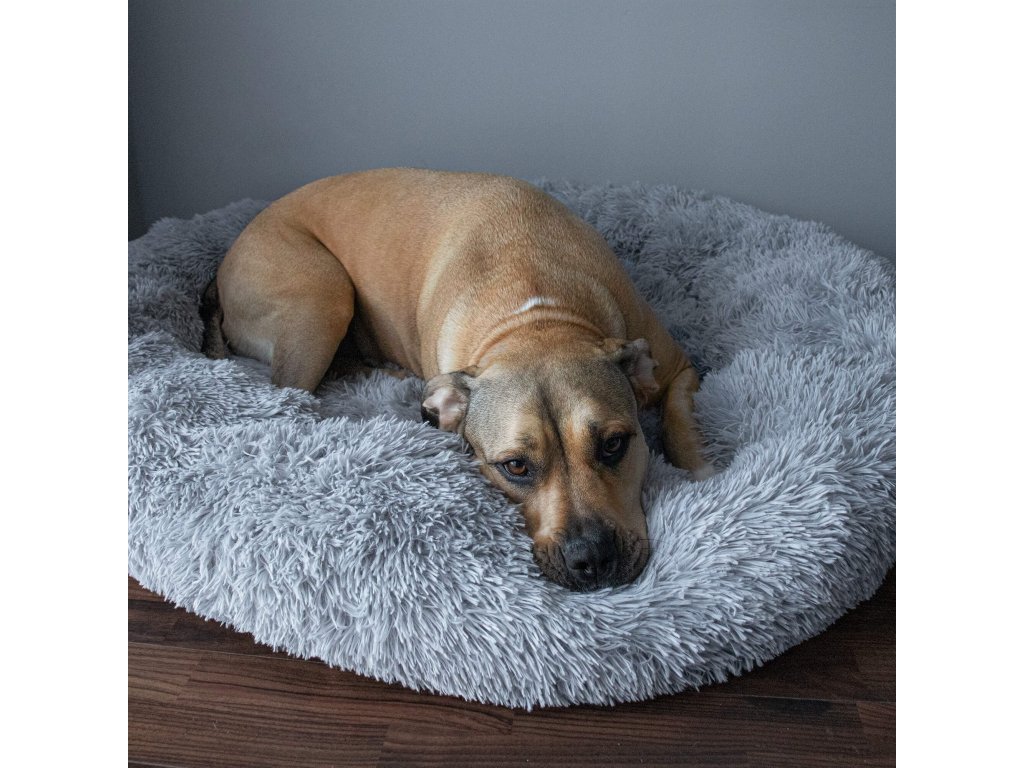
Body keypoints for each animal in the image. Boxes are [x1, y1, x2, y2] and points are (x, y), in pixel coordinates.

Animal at [201, 168, 713, 590]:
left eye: (613, 444)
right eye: (515, 467)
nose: (591, 558)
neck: (538, 318)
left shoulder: (678, 368)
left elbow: (679, 422)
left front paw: (703, 477)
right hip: (320, 296)